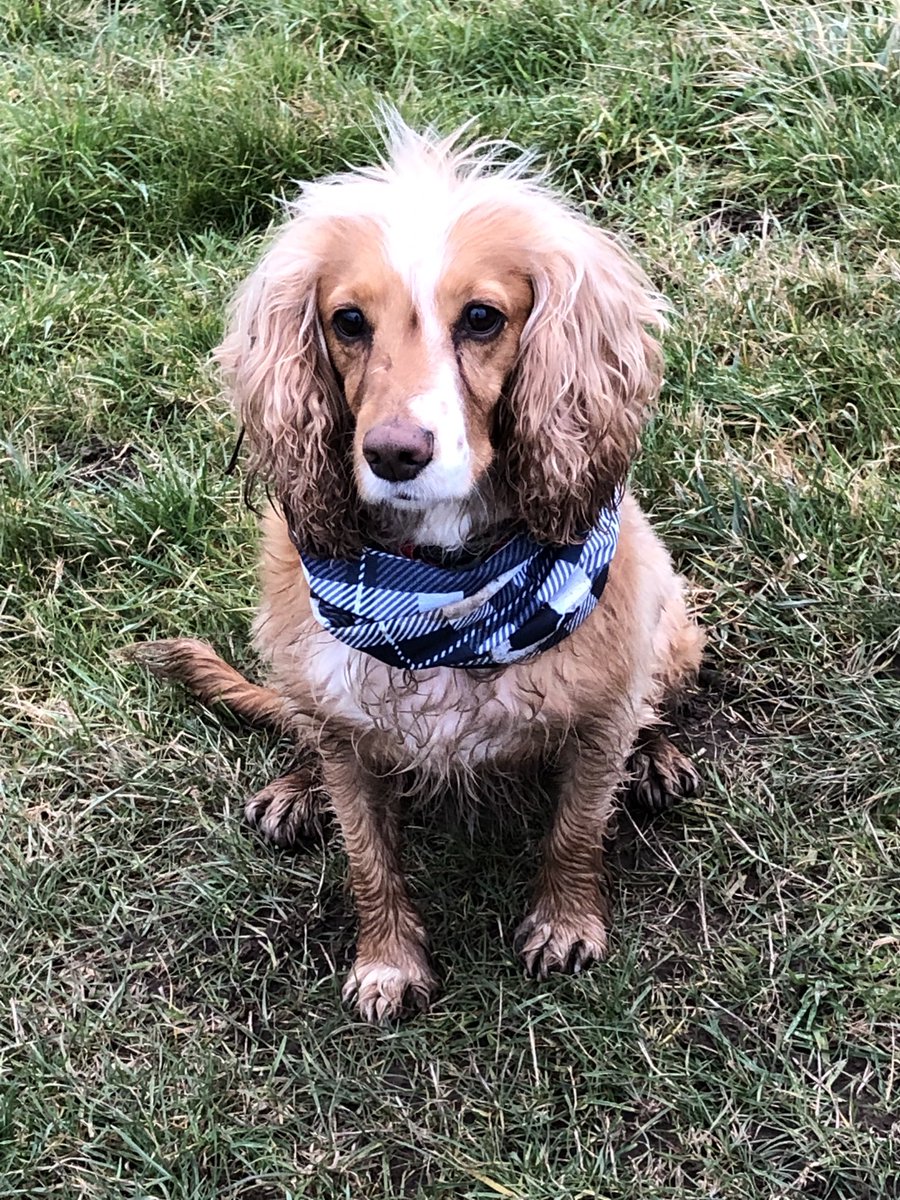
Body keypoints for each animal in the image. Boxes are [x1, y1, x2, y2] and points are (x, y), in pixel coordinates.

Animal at [133, 117, 710, 1022]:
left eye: (481, 318)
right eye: (346, 321)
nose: (395, 453)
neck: (443, 592)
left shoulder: (598, 715)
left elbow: (577, 828)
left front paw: (566, 924)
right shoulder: (343, 724)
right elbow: (369, 859)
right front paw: (388, 964)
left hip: (677, 628)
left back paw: (656, 758)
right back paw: (295, 790)